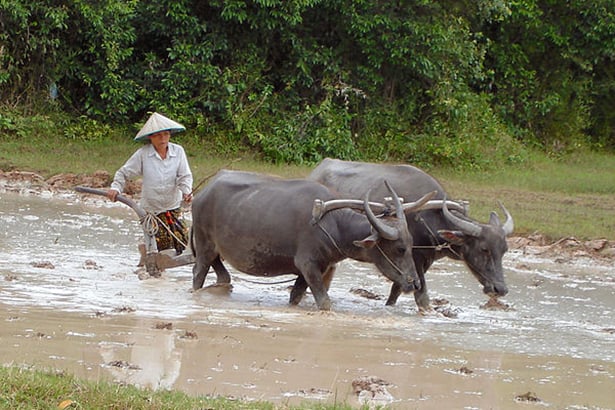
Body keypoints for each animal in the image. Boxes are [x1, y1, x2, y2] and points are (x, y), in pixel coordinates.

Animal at [190, 168, 436, 310]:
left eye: (412, 245)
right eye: (400, 248)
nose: (414, 283)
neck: (332, 223)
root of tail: (201, 195)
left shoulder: (312, 269)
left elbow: (296, 295)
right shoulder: (308, 265)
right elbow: (324, 302)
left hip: (215, 250)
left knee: (222, 275)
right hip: (204, 246)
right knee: (198, 273)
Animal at [308, 158, 516, 310]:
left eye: (504, 250)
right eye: (484, 249)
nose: (501, 289)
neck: (427, 215)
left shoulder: (419, 264)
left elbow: (396, 290)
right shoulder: (414, 260)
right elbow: (422, 298)